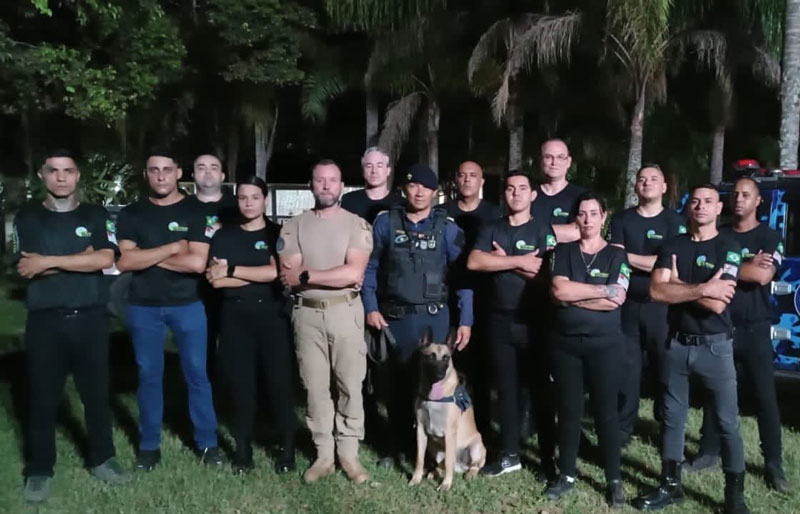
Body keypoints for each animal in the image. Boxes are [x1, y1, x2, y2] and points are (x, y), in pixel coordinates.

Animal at [408, 328, 486, 491]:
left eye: (446, 358)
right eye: (431, 356)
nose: (439, 375)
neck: (434, 398)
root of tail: (461, 467)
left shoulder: (450, 433)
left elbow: (449, 462)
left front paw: (446, 484)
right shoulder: (420, 430)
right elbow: (419, 459)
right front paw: (416, 478)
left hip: (476, 446)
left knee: (473, 465)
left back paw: (470, 474)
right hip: (433, 446)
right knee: (441, 465)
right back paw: (434, 472)